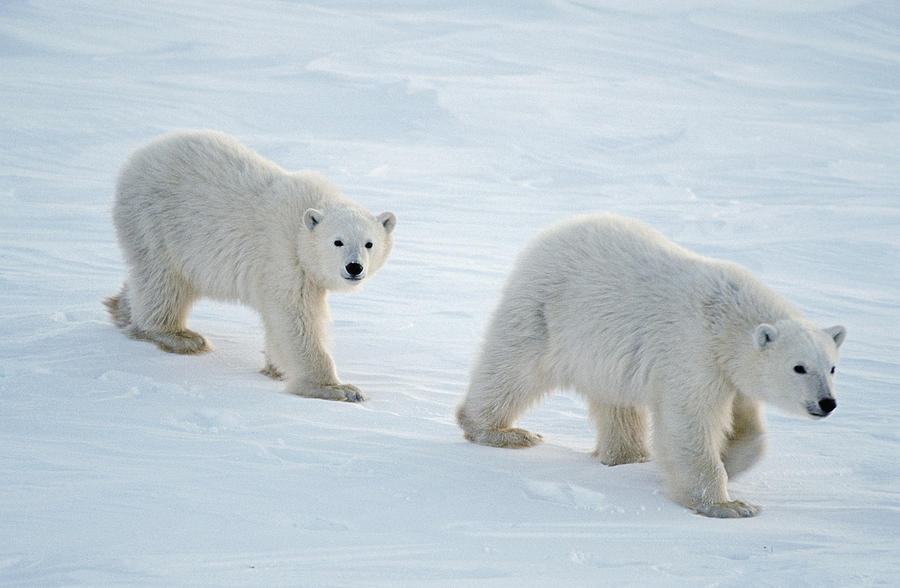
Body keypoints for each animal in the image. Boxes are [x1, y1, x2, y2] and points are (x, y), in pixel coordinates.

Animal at [105, 130, 394, 402]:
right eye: (337, 241)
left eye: (369, 243)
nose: (354, 267)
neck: (301, 227)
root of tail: (139, 156)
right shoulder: (284, 256)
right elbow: (295, 317)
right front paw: (339, 389)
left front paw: (275, 368)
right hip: (156, 222)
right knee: (163, 281)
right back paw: (181, 336)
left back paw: (121, 308)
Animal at [460, 214, 848, 516]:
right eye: (799, 367)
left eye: (831, 367)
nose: (827, 403)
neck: (725, 318)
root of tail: (553, 232)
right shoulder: (693, 352)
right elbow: (690, 421)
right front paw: (727, 505)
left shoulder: (729, 374)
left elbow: (747, 428)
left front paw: (728, 464)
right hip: (545, 312)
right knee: (513, 368)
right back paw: (502, 431)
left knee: (618, 406)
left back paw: (628, 456)